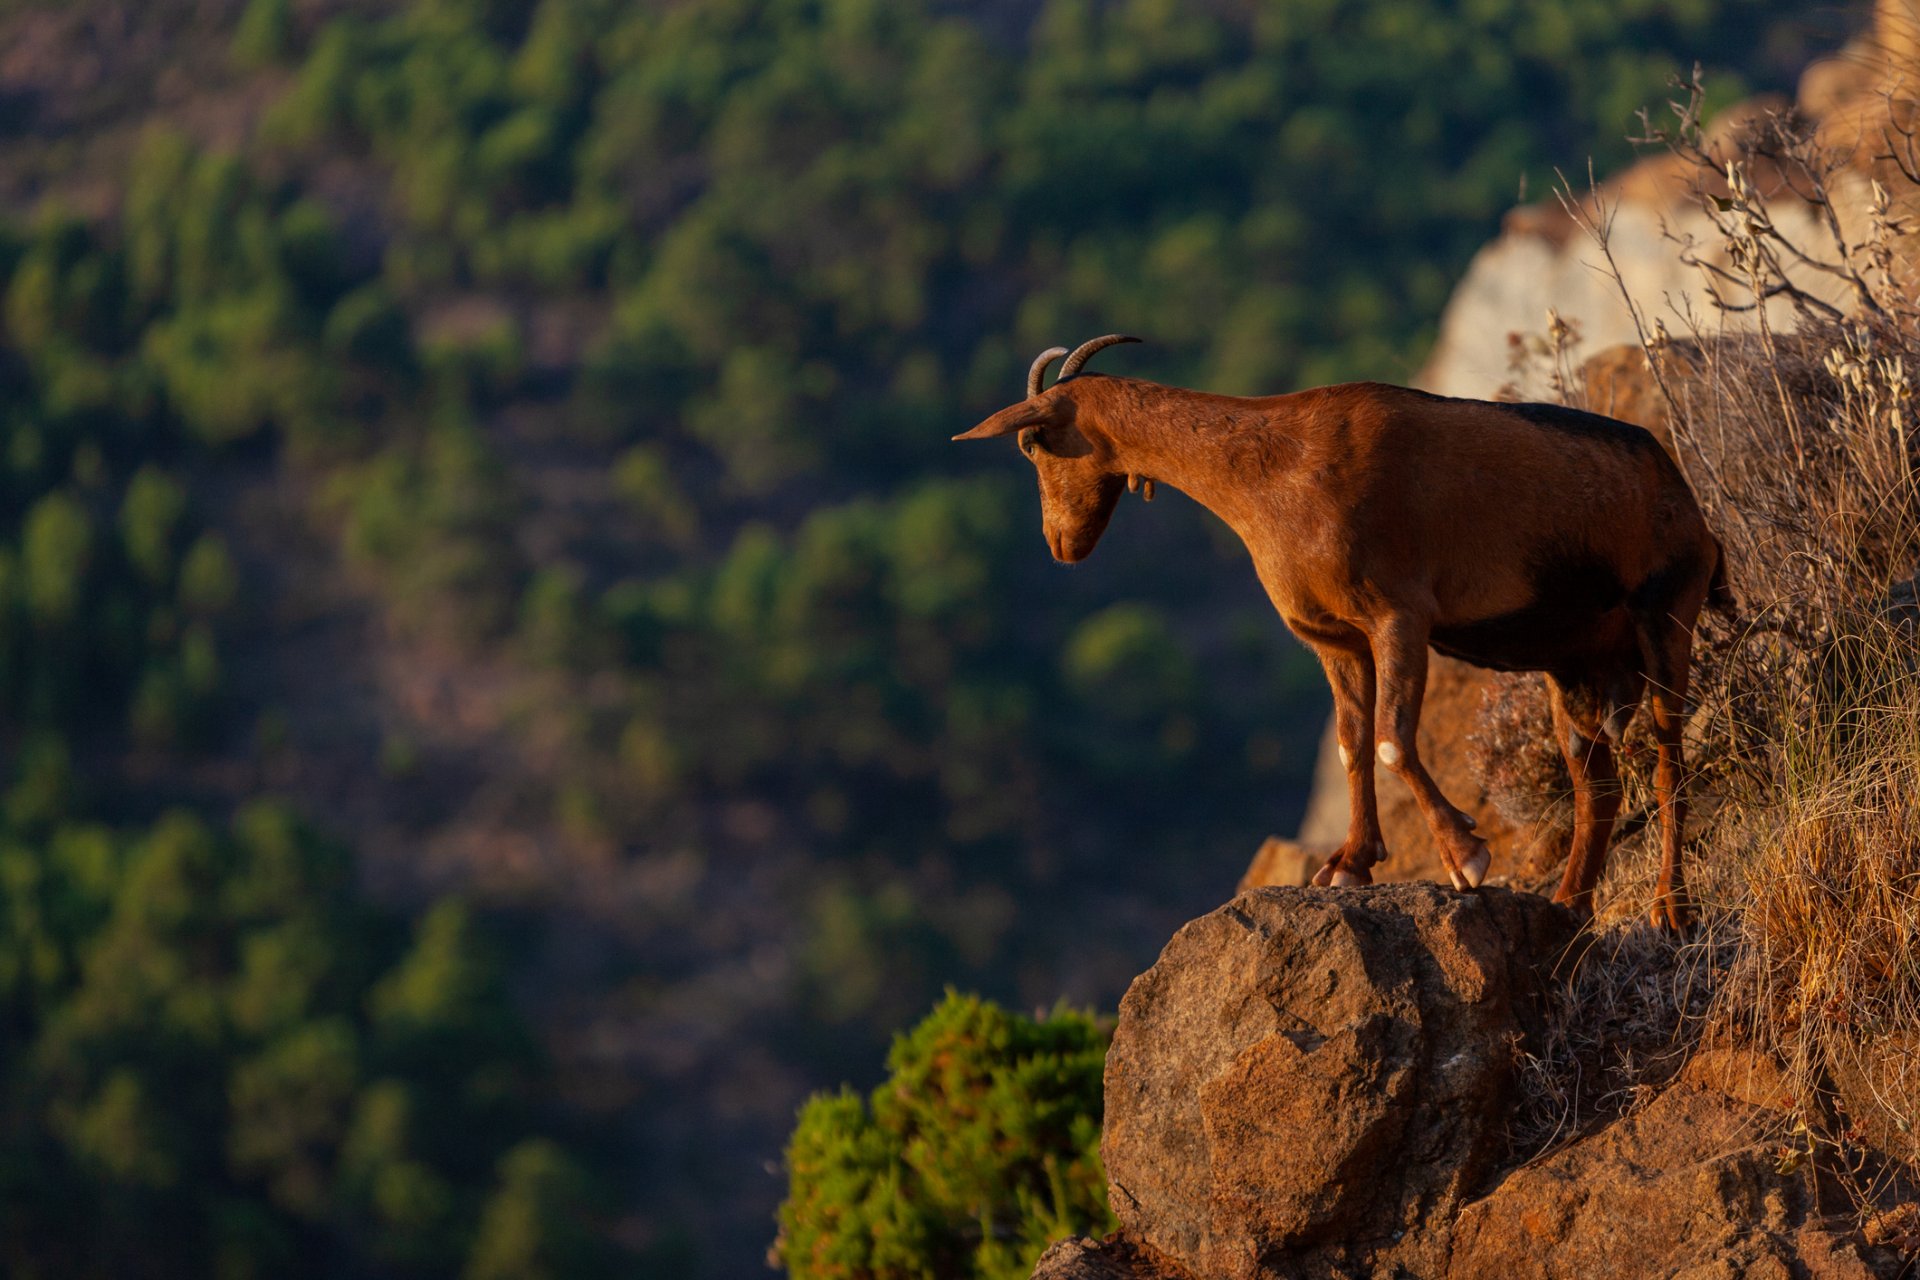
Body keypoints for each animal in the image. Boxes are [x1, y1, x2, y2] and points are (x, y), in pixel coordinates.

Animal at [960, 335, 1728, 924]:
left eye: (1033, 443)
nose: (1061, 543)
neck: (1275, 467)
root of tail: (1690, 505)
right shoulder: (1333, 639)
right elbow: (1352, 744)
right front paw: (1351, 866)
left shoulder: (1399, 617)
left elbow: (1390, 741)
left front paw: (1466, 856)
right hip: (1570, 660)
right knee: (1596, 780)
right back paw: (1569, 904)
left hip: (1666, 615)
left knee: (1668, 761)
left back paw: (1671, 909)